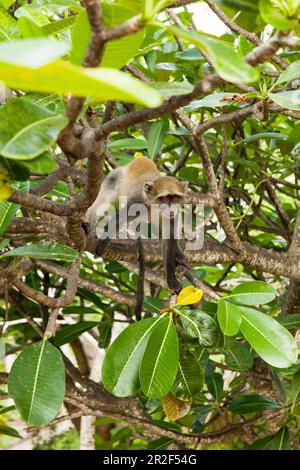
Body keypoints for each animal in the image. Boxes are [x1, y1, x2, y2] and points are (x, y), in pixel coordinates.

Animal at [83, 156, 189, 312]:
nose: (170, 208)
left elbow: (168, 243)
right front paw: (103, 242)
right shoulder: (138, 203)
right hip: (115, 178)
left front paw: (171, 280)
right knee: (102, 200)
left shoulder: (171, 217)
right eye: (164, 198)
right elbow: (117, 219)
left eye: (175, 197)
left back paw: (178, 254)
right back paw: (88, 225)